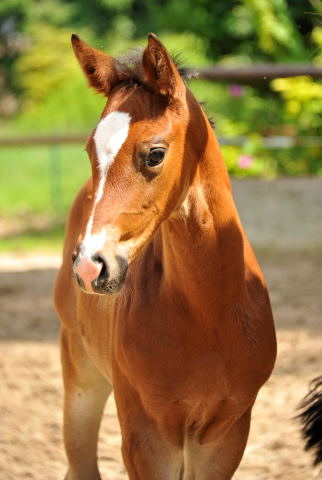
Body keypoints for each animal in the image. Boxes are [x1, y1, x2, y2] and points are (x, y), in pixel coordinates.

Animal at [54, 31, 276, 478]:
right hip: (81, 377)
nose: (89, 266)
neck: (209, 311)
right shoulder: (147, 436)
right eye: (89, 151)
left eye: (155, 153)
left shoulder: (225, 433)